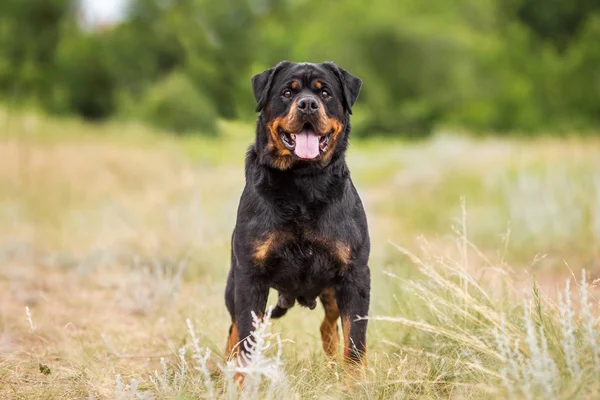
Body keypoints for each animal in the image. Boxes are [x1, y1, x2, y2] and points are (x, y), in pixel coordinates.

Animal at [223, 61, 368, 374]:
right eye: (287, 92)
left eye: (324, 93)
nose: (308, 104)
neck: (303, 184)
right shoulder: (250, 276)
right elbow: (245, 340)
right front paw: (241, 379)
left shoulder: (355, 274)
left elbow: (355, 343)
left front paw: (355, 380)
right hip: (232, 284)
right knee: (233, 328)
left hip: (332, 288)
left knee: (329, 326)